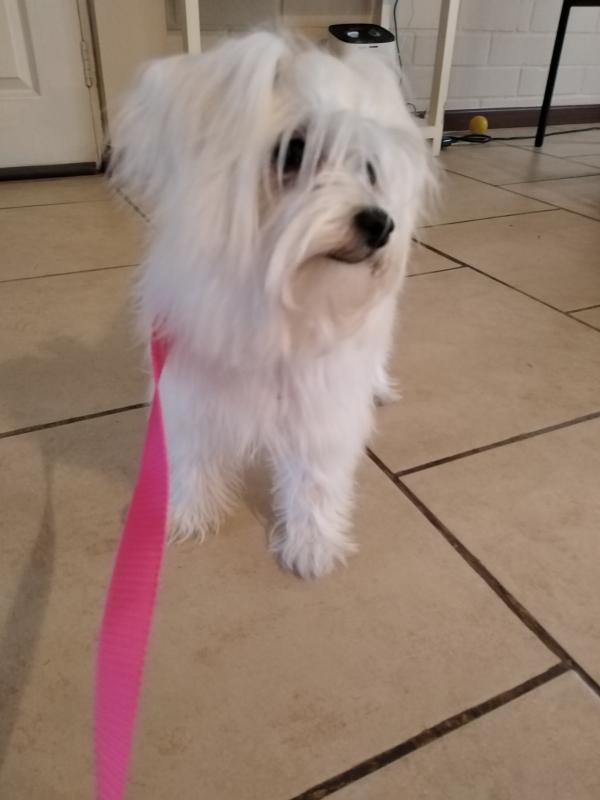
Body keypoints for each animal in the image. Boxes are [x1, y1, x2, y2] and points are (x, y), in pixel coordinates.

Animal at [110, 30, 433, 579]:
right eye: (294, 151)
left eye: (369, 169)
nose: (381, 224)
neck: (277, 305)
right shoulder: (189, 393)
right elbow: (192, 459)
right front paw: (188, 516)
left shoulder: (321, 407)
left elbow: (315, 480)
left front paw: (312, 546)